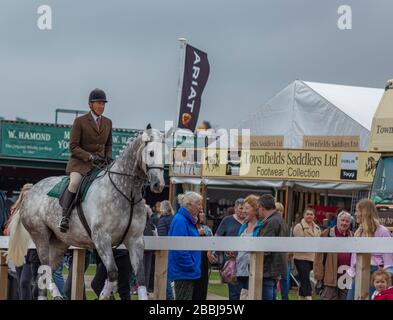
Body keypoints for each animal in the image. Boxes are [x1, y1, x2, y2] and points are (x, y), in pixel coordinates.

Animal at [8, 127, 164, 300]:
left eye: (165, 153)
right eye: (151, 153)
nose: (158, 185)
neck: (127, 193)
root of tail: (30, 192)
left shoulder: (135, 240)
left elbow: (141, 276)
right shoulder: (101, 239)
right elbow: (112, 273)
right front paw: (103, 295)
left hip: (59, 242)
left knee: (43, 274)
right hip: (40, 235)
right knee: (46, 270)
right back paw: (57, 295)